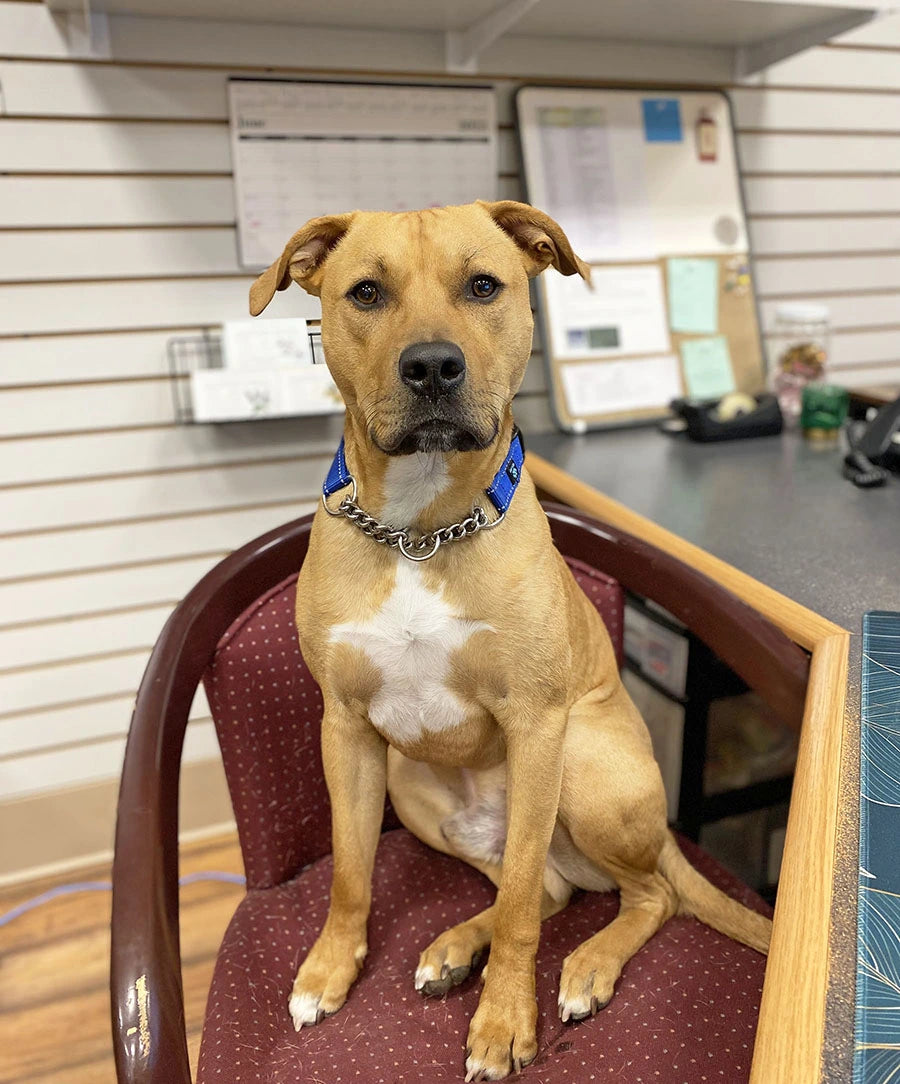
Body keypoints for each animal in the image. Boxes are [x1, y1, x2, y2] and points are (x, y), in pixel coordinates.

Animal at [250, 201, 772, 1075]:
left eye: (484, 286)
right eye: (366, 293)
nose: (432, 367)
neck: (418, 531)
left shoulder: (535, 725)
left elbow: (524, 904)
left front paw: (502, 1022)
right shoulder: (346, 730)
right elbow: (352, 874)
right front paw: (329, 970)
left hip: (584, 766)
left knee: (640, 893)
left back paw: (588, 966)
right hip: (411, 788)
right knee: (548, 886)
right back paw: (457, 947)